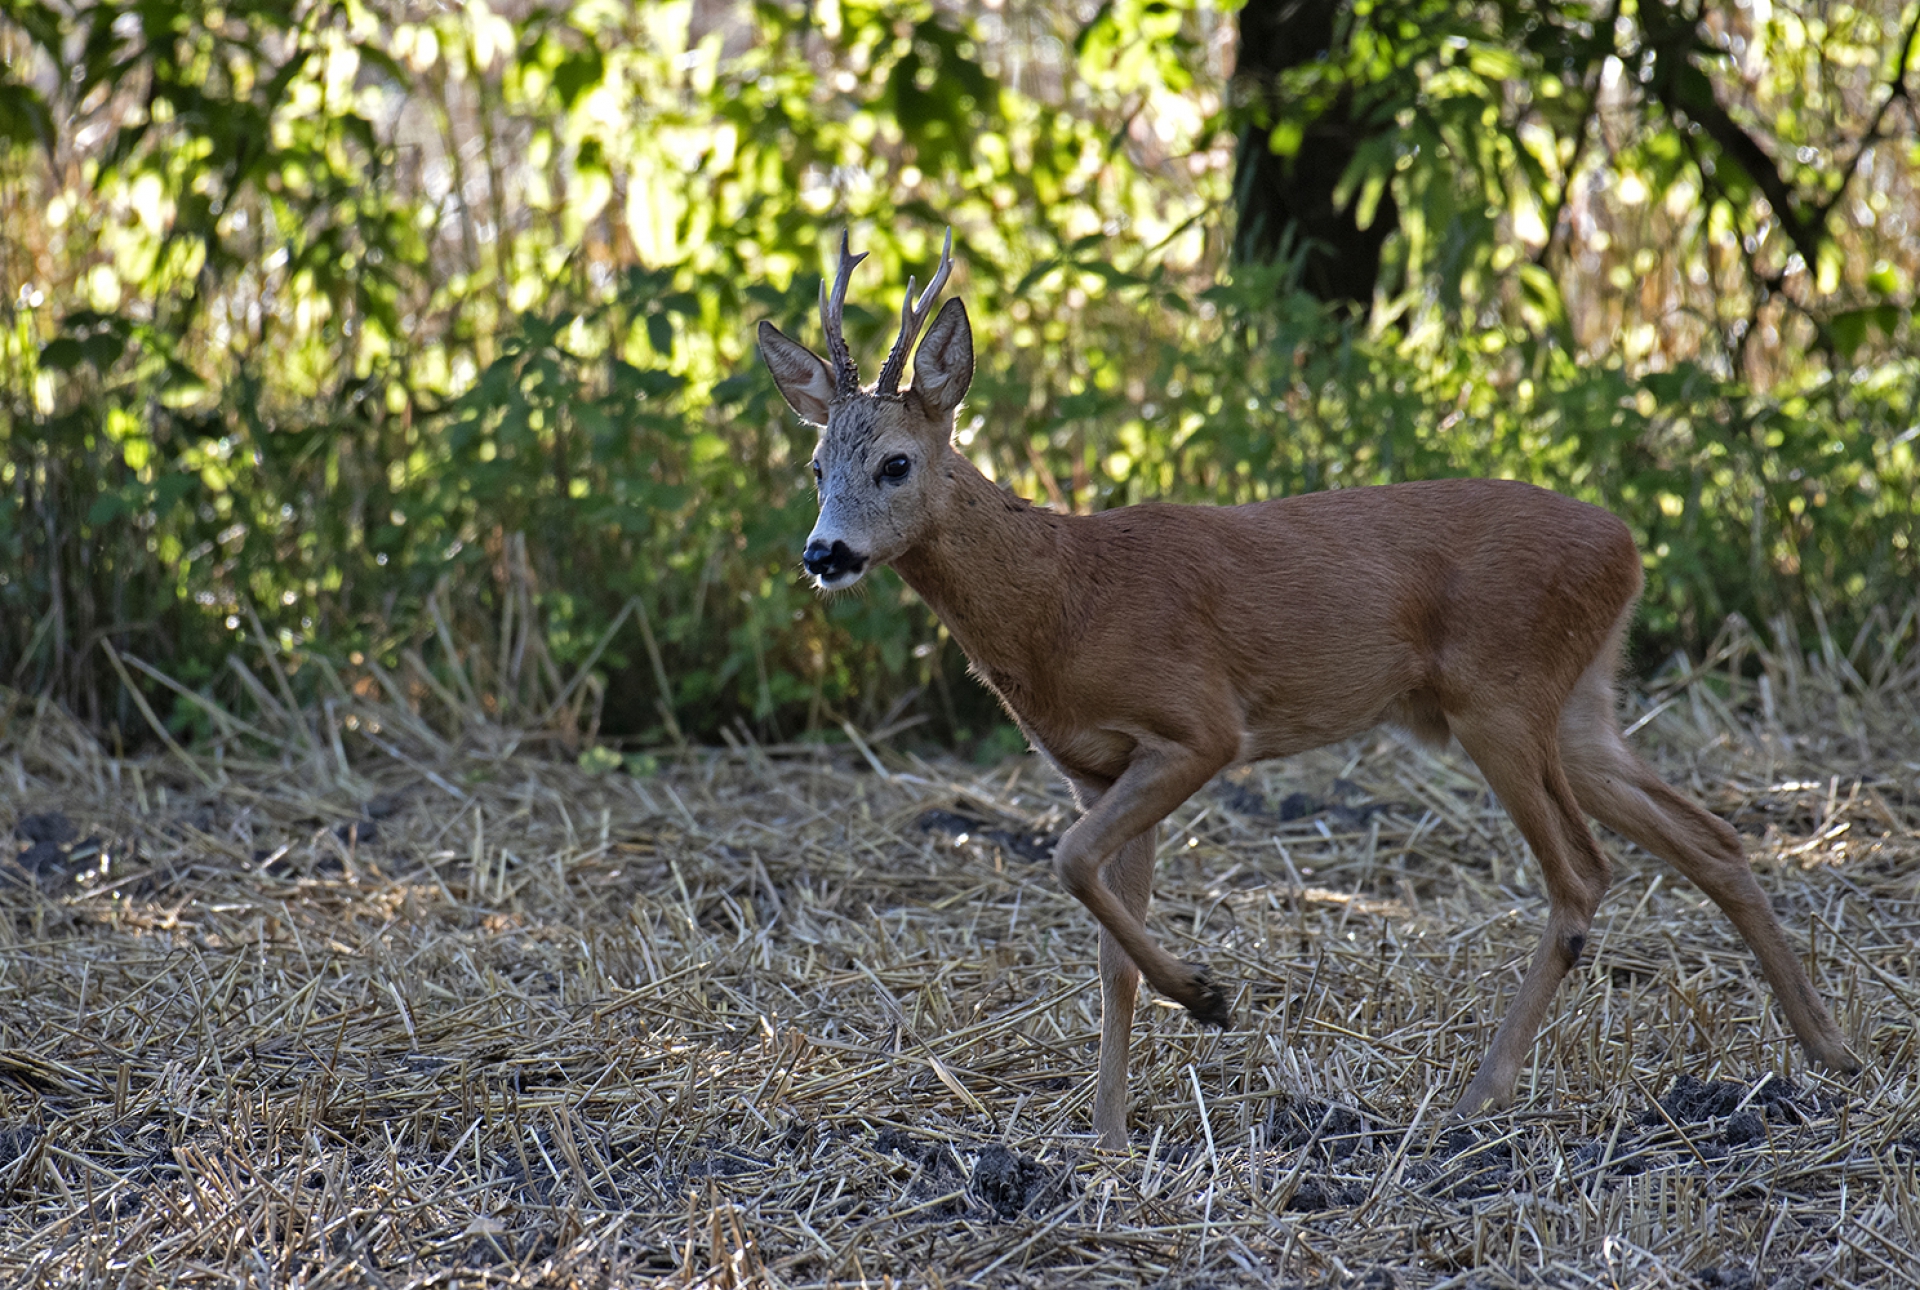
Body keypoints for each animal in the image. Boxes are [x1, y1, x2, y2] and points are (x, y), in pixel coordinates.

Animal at [760, 232, 1858, 1151]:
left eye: (896, 463)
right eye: (814, 466)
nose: (822, 554)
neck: (1064, 599)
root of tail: (1629, 545)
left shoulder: (1200, 727)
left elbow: (1070, 863)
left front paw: (1209, 998)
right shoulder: (1094, 766)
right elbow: (1105, 942)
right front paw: (1108, 1132)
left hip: (1501, 695)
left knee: (1583, 875)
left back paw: (1478, 1097)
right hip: (1580, 702)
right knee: (1710, 837)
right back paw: (1828, 1050)